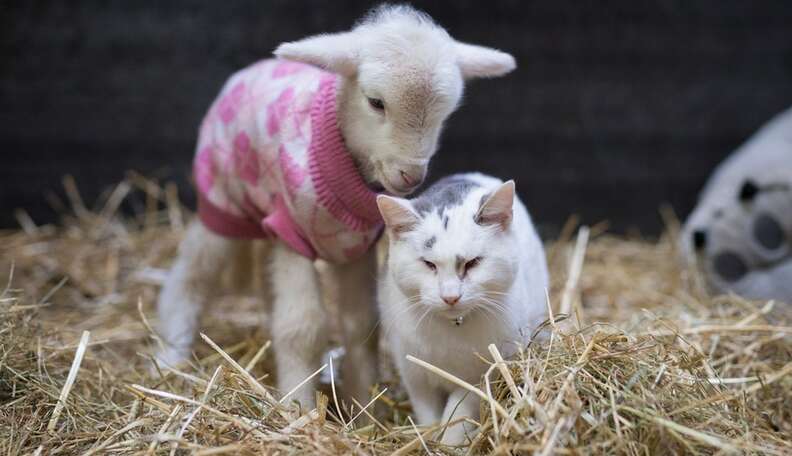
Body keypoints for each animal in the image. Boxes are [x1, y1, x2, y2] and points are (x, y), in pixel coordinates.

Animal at [156, 4, 516, 408]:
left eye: (446, 112)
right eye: (375, 102)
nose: (411, 175)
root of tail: (250, 70)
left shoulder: (356, 246)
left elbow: (360, 324)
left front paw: (362, 407)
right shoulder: (291, 233)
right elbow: (301, 326)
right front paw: (298, 407)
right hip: (223, 199)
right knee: (191, 274)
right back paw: (170, 356)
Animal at [376, 173, 549, 445]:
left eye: (473, 263)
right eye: (428, 264)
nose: (450, 297)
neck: (452, 328)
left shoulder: (477, 378)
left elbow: (457, 414)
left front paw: (447, 443)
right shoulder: (415, 376)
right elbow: (428, 412)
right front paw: (428, 437)